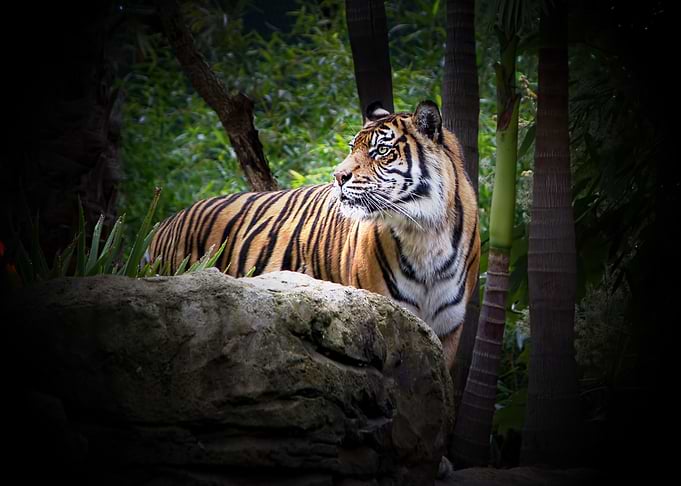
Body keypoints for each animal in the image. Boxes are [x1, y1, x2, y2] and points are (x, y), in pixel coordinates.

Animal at [149, 100, 480, 370]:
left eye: (381, 151)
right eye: (352, 147)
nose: (338, 176)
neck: (424, 233)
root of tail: (163, 223)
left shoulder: (447, 330)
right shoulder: (389, 315)